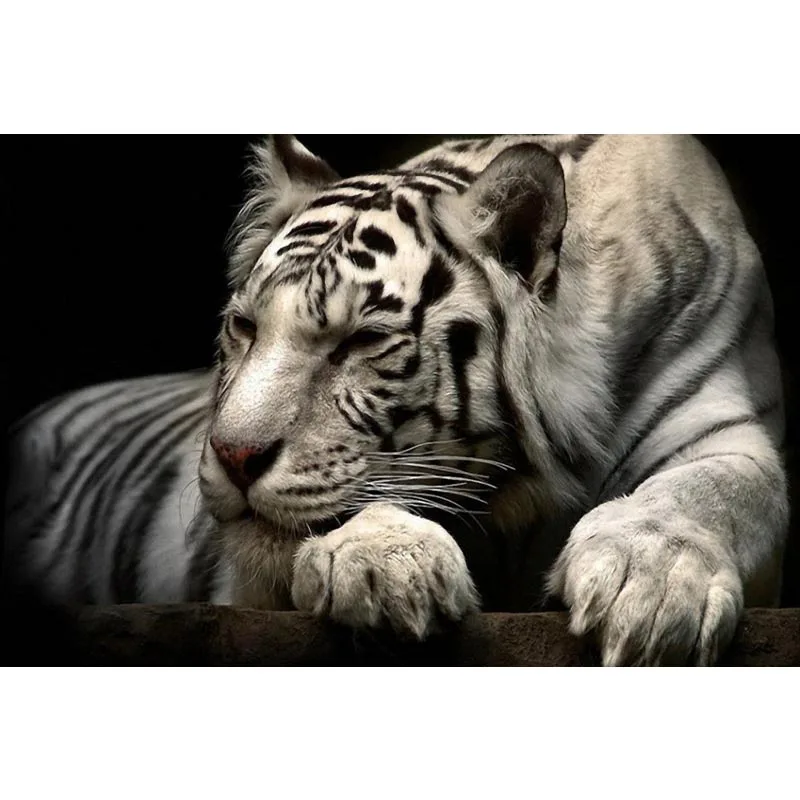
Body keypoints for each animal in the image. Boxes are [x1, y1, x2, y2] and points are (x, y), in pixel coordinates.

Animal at [3, 134, 789, 666]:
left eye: (361, 340)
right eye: (245, 327)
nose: (232, 455)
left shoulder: (724, 423)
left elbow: (709, 491)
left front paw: (649, 585)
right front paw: (384, 565)